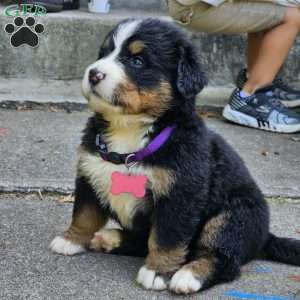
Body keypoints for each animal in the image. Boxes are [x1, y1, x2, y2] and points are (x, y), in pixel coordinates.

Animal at [50, 18, 298, 296]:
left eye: (137, 61)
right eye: (103, 53)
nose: (94, 73)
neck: (128, 132)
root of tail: (265, 236)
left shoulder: (180, 194)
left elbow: (166, 238)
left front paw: (158, 271)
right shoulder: (89, 172)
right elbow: (84, 213)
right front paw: (70, 240)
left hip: (233, 216)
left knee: (222, 258)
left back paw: (189, 275)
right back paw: (109, 238)